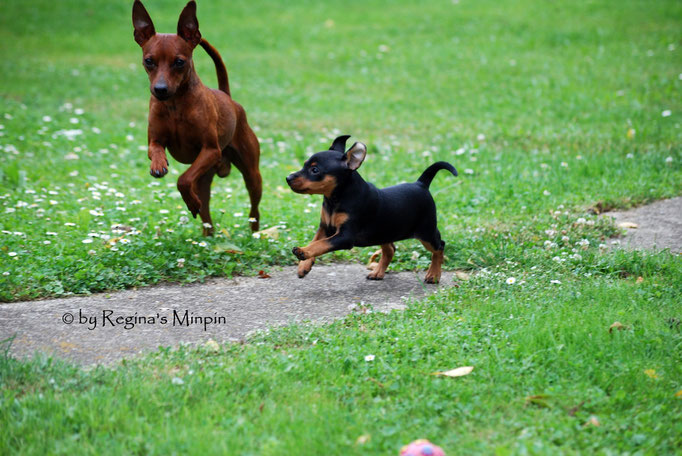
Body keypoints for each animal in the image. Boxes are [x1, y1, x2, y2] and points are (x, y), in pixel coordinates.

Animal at [132, 0, 260, 235]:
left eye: (179, 62)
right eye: (149, 61)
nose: (160, 90)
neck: (175, 105)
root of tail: (227, 97)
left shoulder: (210, 150)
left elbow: (182, 179)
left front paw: (189, 201)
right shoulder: (154, 141)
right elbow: (156, 150)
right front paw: (158, 165)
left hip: (251, 174)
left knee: (254, 207)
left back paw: (255, 232)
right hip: (204, 180)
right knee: (205, 210)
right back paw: (206, 233)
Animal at [284, 135, 454, 284]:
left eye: (315, 170)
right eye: (304, 165)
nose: (288, 178)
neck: (335, 199)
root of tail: (421, 184)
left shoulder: (345, 236)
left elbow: (322, 244)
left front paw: (303, 252)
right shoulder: (325, 227)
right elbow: (316, 241)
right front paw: (304, 265)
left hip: (426, 232)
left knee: (439, 246)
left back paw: (433, 275)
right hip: (383, 232)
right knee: (390, 249)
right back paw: (378, 272)